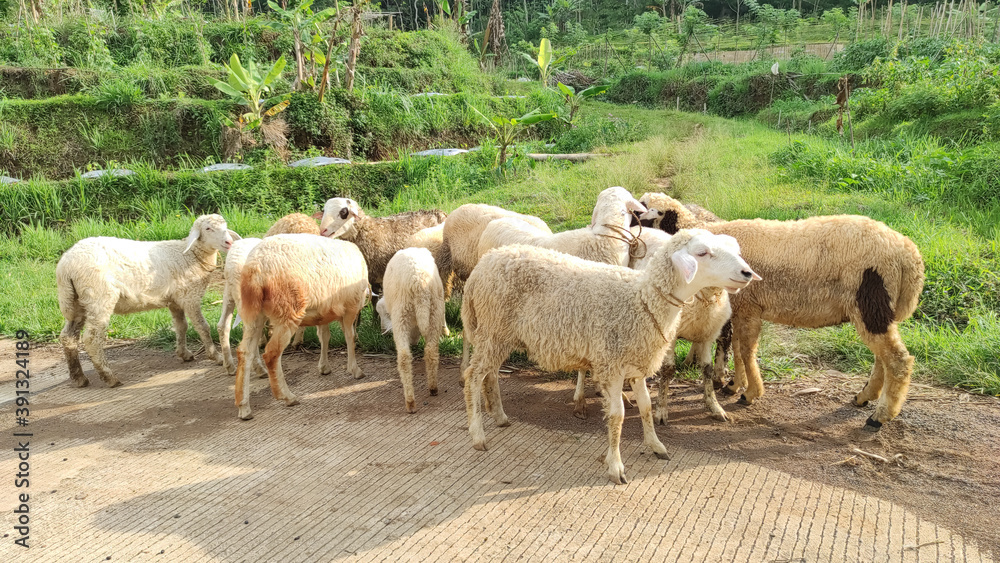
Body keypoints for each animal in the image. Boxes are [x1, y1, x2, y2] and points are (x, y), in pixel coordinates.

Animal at [57, 214, 240, 388]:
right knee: (91, 339)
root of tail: (66, 266)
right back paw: (109, 377)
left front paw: (184, 353)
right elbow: (203, 327)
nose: (229, 242)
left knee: (68, 337)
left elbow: (181, 326)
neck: (190, 255)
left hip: (75, 300)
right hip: (98, 297)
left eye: (225, 226)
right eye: (208, 228)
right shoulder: (190, 297)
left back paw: (79, 377)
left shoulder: (175, 300)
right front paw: (216, 356)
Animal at [234, 233, 369, 420]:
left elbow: (324, 336)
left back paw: (244, 407)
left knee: (244, 352)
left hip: (252, 313)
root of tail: (257, 268)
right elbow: (350, 338)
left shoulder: (324, 311)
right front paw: (354, 369)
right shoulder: (351, 307)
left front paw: (324, 367)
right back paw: (286, 396)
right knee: (271, 354)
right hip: (287, 310)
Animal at [375, 247, 450, 413]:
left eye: (383, 314)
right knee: (431, 352)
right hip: (434, 311)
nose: (382, 330)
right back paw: (433, 388)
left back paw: (410, 402)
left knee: (403, 358)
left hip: (401, 315)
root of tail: (419, 284)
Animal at [461, 230, 760, 484]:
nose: (747, 273)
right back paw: (477, 434)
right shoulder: (612, 364)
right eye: (702, 252)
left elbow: (646, 407)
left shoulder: (636, 363)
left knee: (490, 373)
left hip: (499, 333)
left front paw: (656, 445)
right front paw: (616, 466)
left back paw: (500, 415)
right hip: (493, 327)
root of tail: (483, 265)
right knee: (473, 376)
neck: (642, 300)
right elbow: (617, 415)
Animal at [641, 194, 925, 430]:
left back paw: (879, 416)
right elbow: (739, 348)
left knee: (897, 360)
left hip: (870, 301)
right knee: (882, 357)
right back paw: (865, 397)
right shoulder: (743, 308)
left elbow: (746, 350)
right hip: (876, 308)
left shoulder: (748, 307)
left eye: (644, 208)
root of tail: (909, 255)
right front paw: (736, 385)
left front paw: (750, 393)